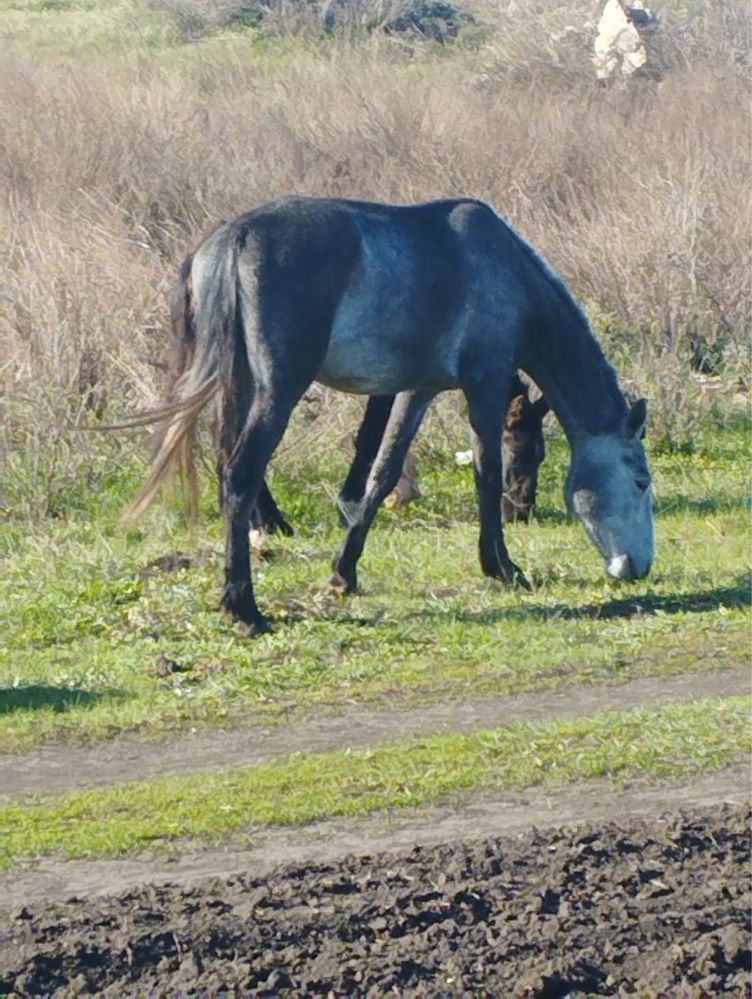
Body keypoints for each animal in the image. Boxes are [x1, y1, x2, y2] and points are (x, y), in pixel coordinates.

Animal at [128, 195, 652, 632]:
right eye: (642, 482)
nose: (639, 567)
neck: (502, 268)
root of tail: (234, 235)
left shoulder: (417, 390)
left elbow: (383, 472)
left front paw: (344, 572)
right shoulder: (484, 384)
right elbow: (485, 472)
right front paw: (502, 566)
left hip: (238, 386)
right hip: (278, 391)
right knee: (242, 474)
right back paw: (245, 608)